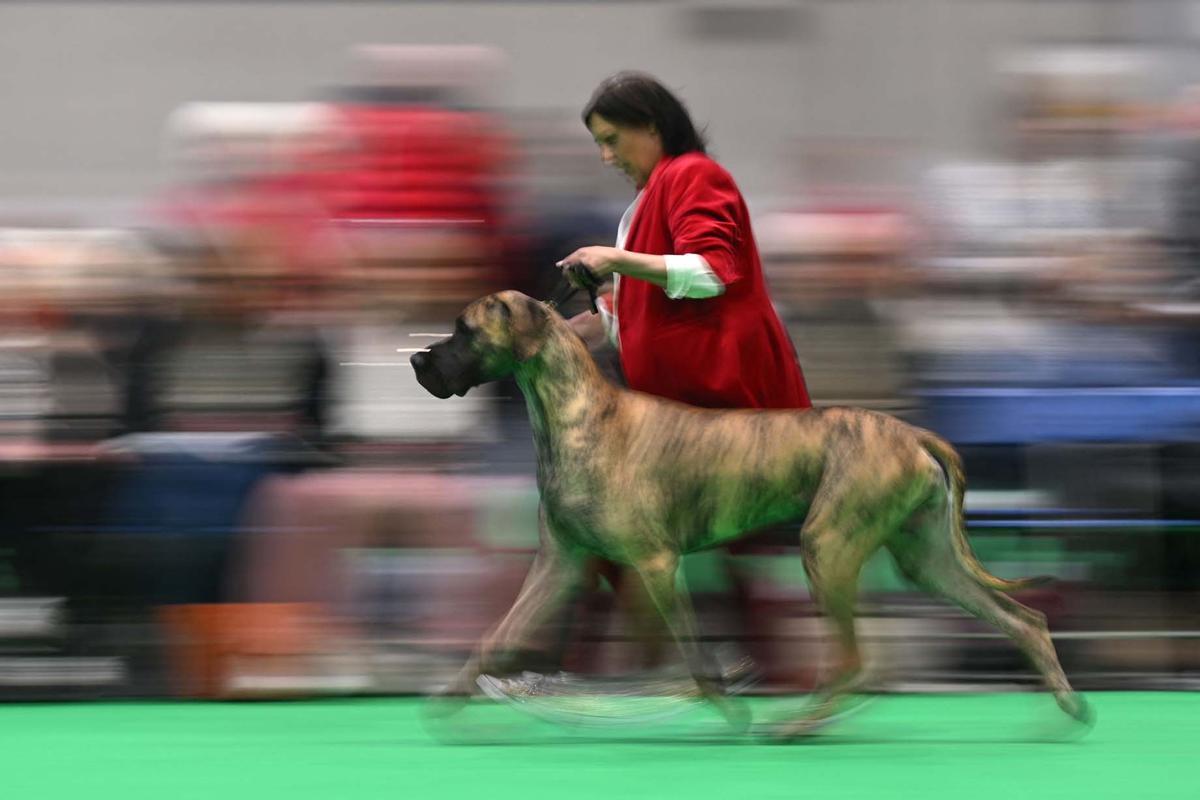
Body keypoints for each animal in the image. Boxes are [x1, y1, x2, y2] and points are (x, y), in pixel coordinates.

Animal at [412, 291, 1099, 743]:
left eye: (464, 329)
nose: (419, 361)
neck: (573, 413)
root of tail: (914, 434)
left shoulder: (656, 564)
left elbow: (694, 653)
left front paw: (724, 705)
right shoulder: (560, 565)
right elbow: (495, 637)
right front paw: (451, 696)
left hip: (827, 546)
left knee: (852, 661)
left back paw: (799, 725)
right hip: (925, 560)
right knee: (1024, 619)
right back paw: (1066, 707)